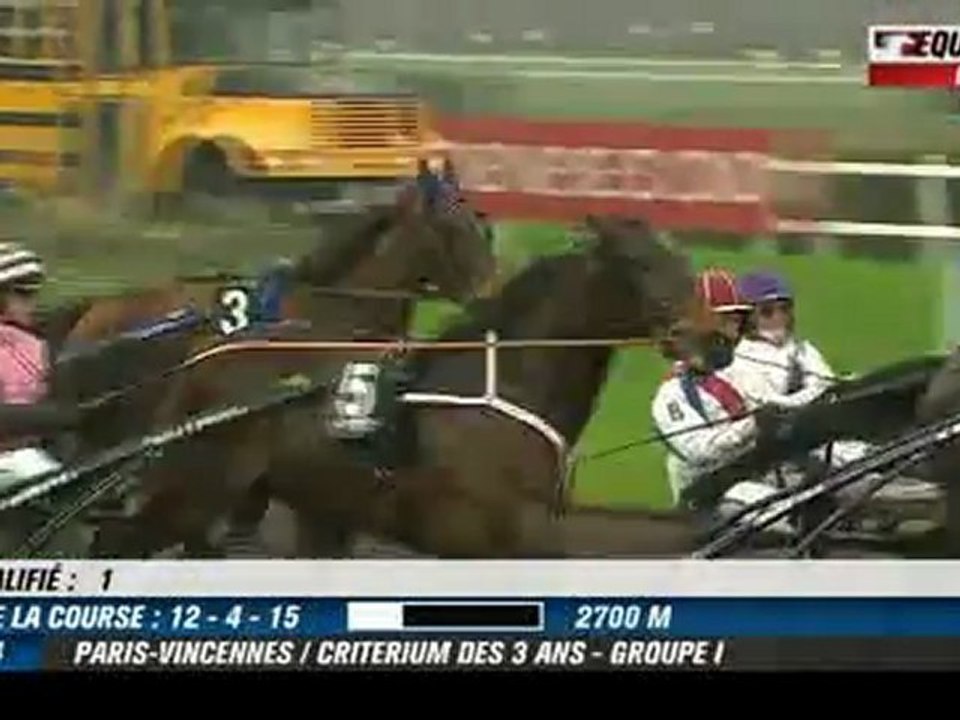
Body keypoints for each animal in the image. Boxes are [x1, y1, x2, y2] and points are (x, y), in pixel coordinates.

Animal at [89, 215, 719, 559]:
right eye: (641, 265)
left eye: (683, 259)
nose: (716, 339)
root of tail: (203, 356)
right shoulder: (485, 539)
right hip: (195, 488)